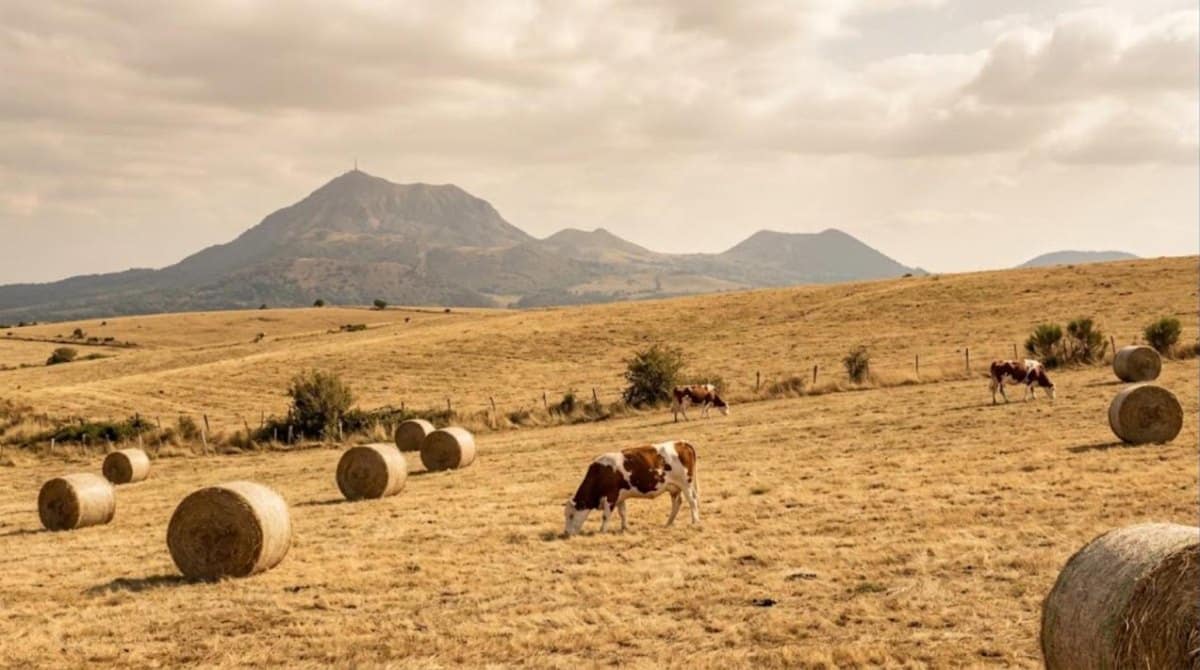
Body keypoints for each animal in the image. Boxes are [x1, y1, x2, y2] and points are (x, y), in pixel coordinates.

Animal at [563, 440, 699, 536]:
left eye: (571, 515)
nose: (566, 533)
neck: (600, 473)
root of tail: (681, 443)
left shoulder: (610, 497)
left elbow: (606, 516)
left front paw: (602, 531)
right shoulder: (620, 497)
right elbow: (622, 513)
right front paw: (624, 527)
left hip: (686, 484)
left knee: (692, 501)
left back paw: (695, 521)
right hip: (674, 488)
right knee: (677, 503)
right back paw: (669, 523)